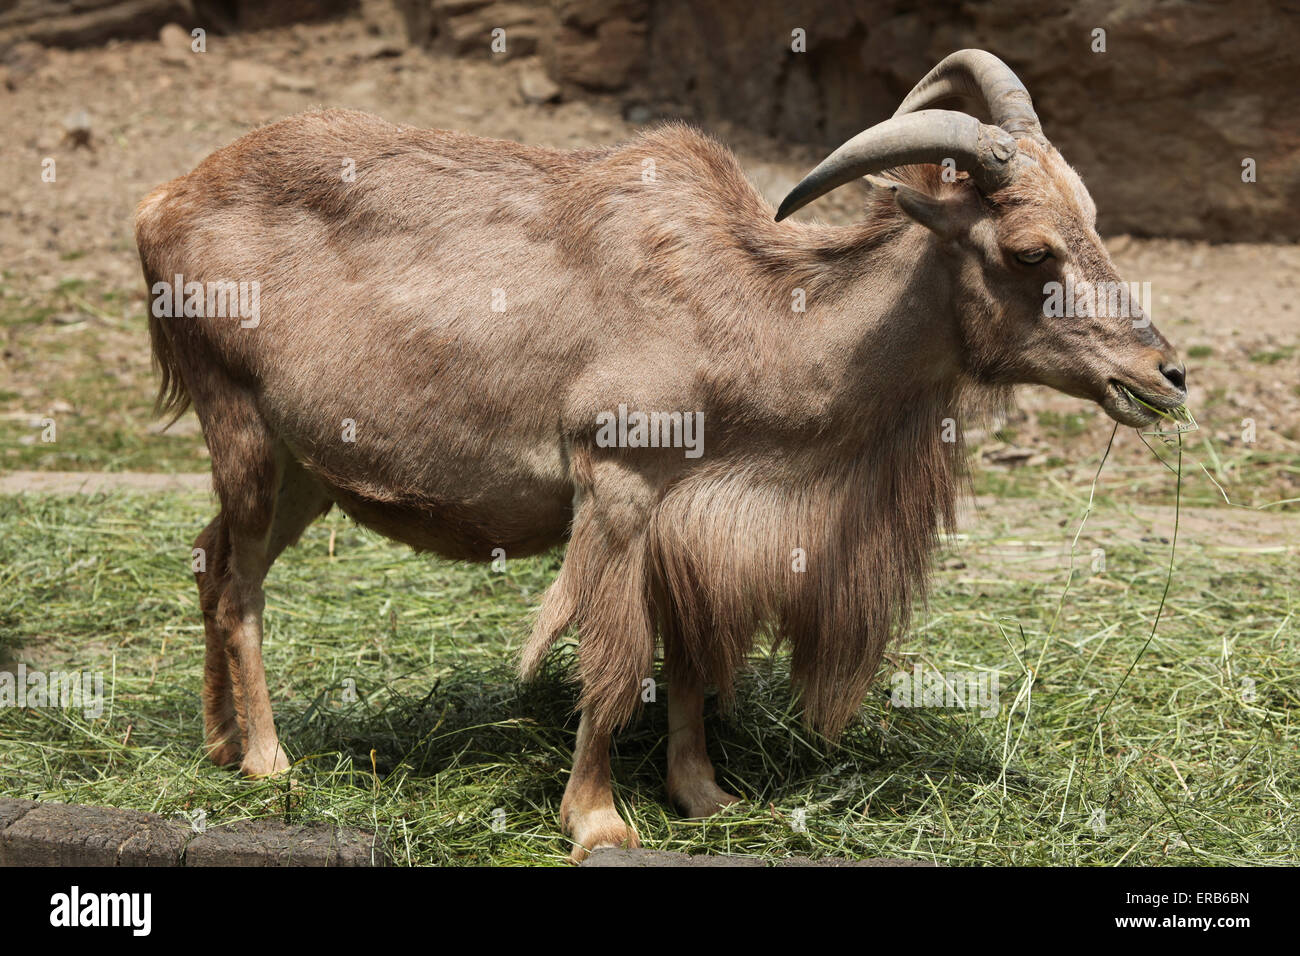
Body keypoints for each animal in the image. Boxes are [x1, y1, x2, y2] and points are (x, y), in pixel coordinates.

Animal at [137, 50, 1185, 858]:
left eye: (1091, 218)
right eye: (1031, 250)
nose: (1166, 375)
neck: (749, 317)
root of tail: (159, 204)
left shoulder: (693, 521)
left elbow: (687, 661)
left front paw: (704, 795)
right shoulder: (620, 489)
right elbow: (613, 660)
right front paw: (598, 821)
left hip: (305, 468)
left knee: (208, 559)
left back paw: (218, 743)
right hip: (240, 428)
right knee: (238, 587)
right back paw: (269, 761)